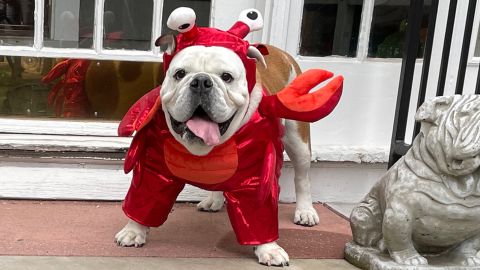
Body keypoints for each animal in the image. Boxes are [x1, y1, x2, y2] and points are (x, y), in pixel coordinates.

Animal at [115, 6, 344, 266]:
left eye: (226, 77)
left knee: (302, 177)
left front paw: (268, 248)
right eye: (180, 73)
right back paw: (214, 201)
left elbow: (259, 216)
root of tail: (279, 52)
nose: (201, 81)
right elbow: (143, 200)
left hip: (299, 141)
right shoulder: (154, 171)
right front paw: (134, 230)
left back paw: (305, 211)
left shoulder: (256, 179)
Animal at [350, 94, 480, 266]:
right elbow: (400, 237)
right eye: (464, 114)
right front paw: (411, 260)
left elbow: (470, 245)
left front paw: (469, 259)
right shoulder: (399, 211)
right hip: (363, 213)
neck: (460, 184)